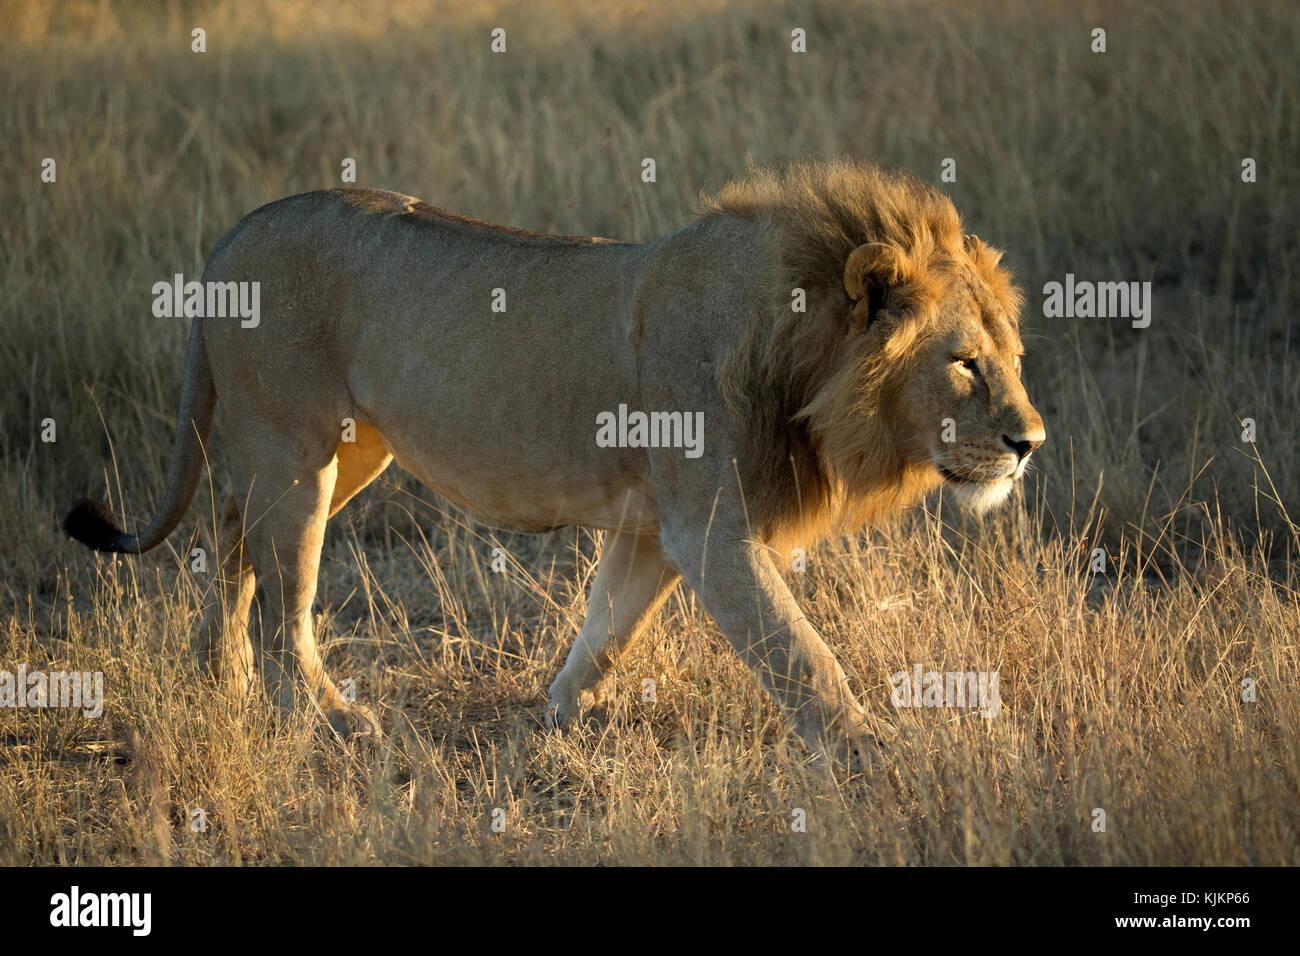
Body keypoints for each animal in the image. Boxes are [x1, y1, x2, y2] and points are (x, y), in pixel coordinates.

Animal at [63, 158, 1044, 767]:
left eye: (1012, 353)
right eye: (963, 361)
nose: (1030, 442)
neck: (796, 353)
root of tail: (232, 237)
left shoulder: (654, 532)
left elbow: (607, 633)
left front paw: (550, 721)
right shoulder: (712, 531)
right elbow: (801, 653)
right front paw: (873, 753)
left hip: (343, 454)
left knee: (233, 533)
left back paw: (214, 676)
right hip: (296, 452)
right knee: (282, 596)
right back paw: (325, 716)